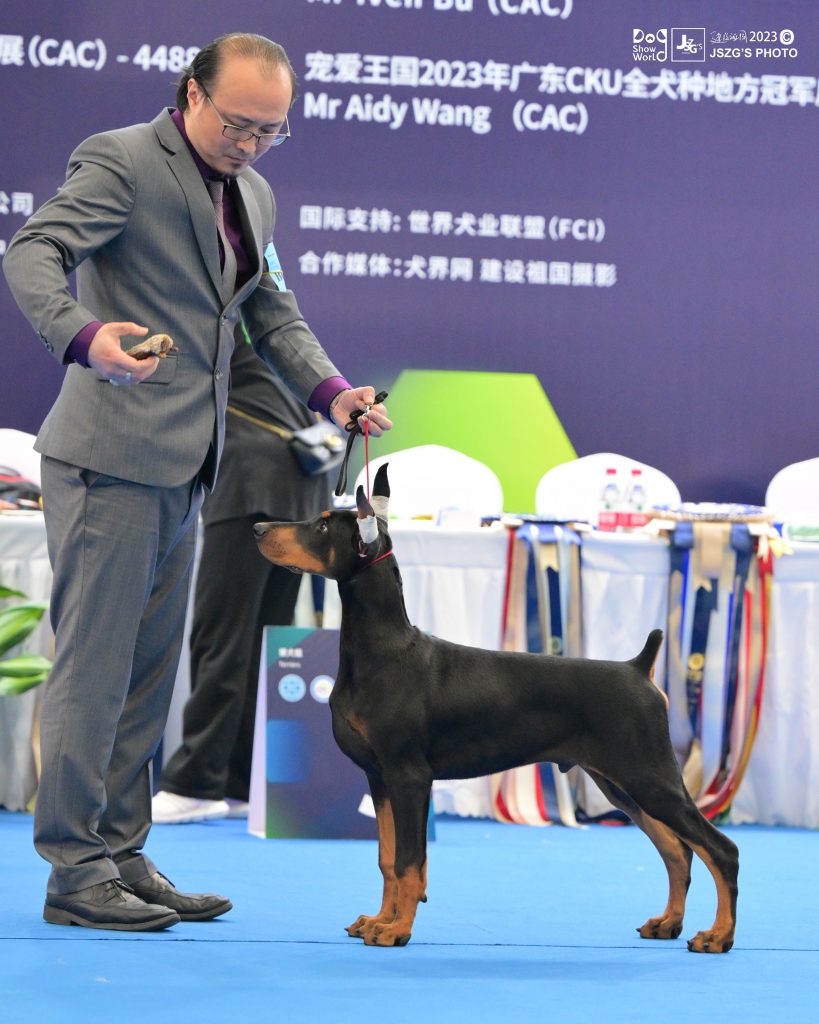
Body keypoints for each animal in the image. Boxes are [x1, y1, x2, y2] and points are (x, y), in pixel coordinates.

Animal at [254, 464, 738, 952]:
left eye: (321, 526)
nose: (258, 529)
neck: (381, 651)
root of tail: (640, 669)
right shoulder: (379, 778)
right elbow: (388, 859)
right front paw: (378, 920)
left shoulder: (409, 777)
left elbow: (410, 862)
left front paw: (397, 929)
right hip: (620, 785)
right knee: (677, 850)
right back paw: (668, 923)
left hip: (649, 777)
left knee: (721, 849)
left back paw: (717, 935)